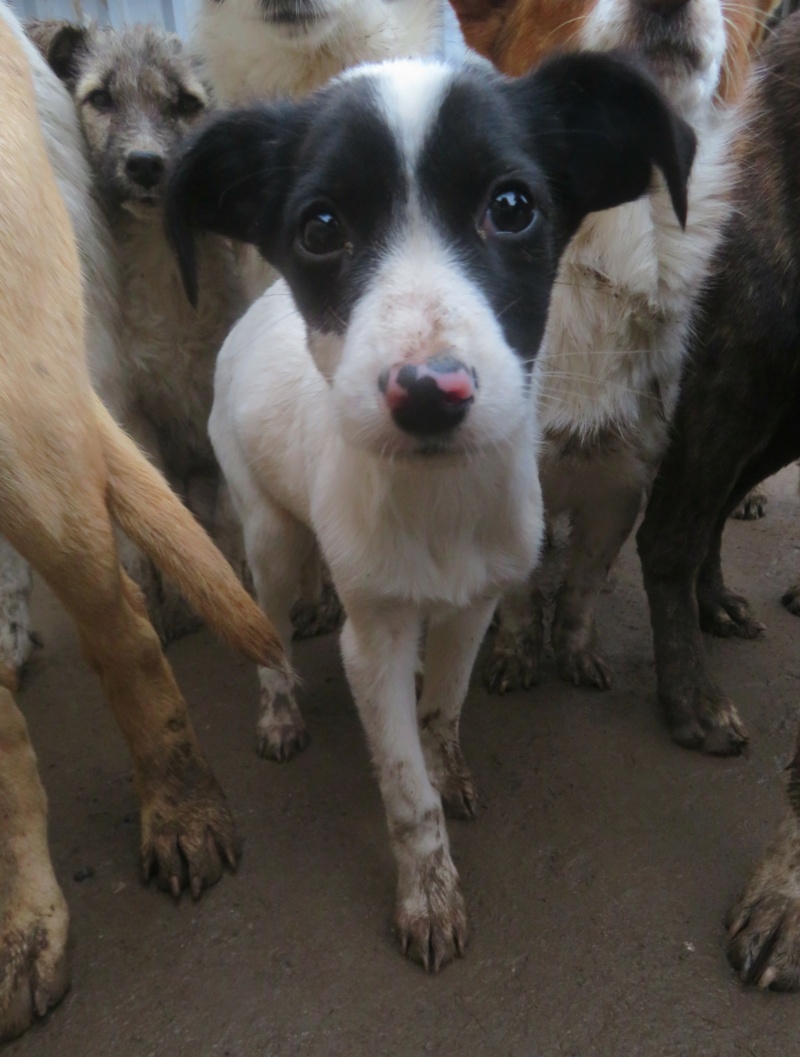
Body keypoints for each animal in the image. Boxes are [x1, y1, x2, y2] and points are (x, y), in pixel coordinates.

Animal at [166, 55, 693, 968]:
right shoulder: (372, 639)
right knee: (269, 624)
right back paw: (280, 704)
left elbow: (442, 713)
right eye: (320, 226)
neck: (439, 500)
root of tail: (257, 311)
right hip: (268, 533)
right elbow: (406, 792)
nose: (426, 392)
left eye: (513, 207)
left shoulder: (475, 603)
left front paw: (446, 767)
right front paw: (429, 896)